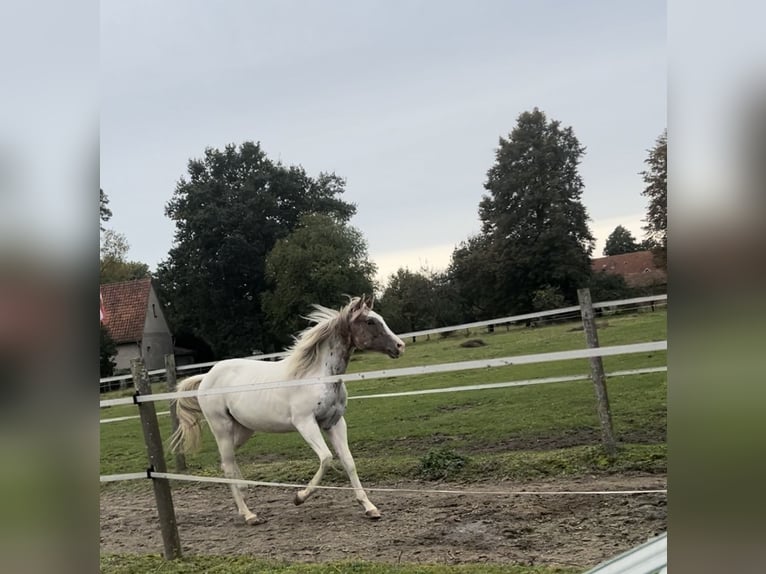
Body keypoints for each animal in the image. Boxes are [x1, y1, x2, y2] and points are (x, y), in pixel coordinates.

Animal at [170, 296, 408, 528]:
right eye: (370, 321)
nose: (400, 346)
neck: (318, 376)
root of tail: (206, 376)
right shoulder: (305, 423)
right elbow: (326, 458)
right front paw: (299, 497)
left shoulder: (335, 423)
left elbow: (348, 462)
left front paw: (370, 508)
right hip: (222, 427)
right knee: (227, 465)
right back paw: (249, 515)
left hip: (243, 429)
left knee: (226, 461)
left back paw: (244, 497)